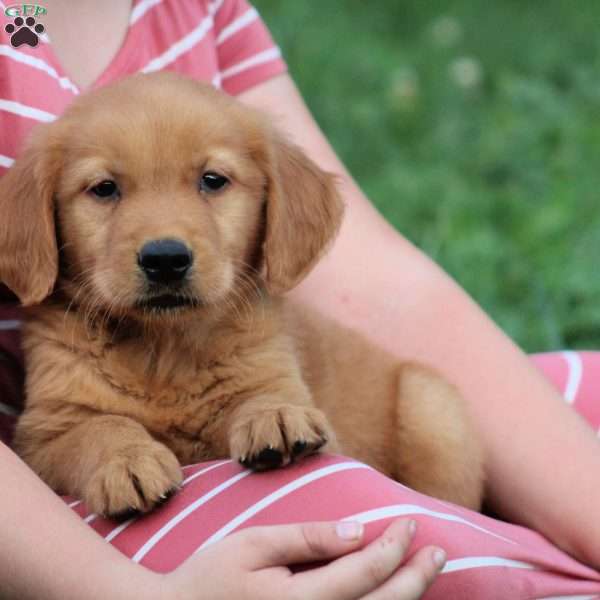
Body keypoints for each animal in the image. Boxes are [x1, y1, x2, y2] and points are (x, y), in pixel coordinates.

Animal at [0, 72, 482, 516]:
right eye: (104, 188)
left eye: (213, 180)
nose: (165, 258)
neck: (164, 351)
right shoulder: (46, 431)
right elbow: (100, 428)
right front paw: (127, 461)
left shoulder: (283, 381)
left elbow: (262, 394)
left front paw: (275, 416)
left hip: (433, 411)